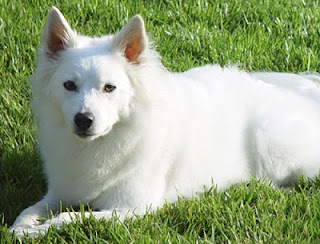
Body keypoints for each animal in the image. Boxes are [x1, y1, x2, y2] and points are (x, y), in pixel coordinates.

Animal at [10, 7, 320, 236]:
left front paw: (40, 230)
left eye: (109, 88)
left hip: (274, 148)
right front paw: (21, 228)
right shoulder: (58, 193)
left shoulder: (133, 208)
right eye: (69, 86)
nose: (83, 120)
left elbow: (68, 218)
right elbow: (28, 210)